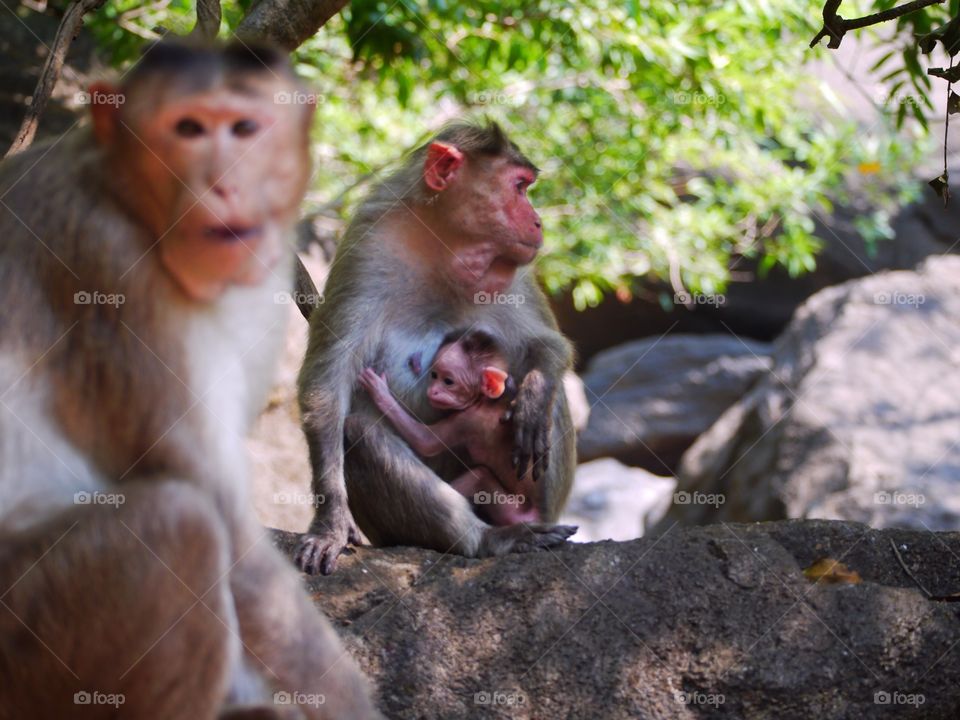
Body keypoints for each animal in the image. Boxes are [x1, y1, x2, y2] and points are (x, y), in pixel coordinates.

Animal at [0, 40, 378, 720]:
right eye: (187, 129)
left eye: (246, 129)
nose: (223, 184)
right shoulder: (110, 264)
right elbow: (223, 522)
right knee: (183, 526)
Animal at [360, 330, 540, 524]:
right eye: (434, 375)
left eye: (448, 381)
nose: (432, 391)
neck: (483, 400)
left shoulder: (467, 421)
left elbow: (425, 442)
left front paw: (380, 392)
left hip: (516, 512)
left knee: (479, 477)